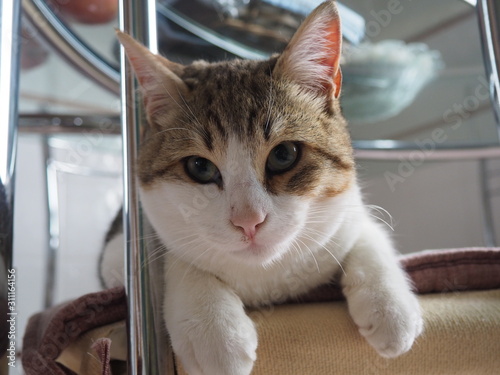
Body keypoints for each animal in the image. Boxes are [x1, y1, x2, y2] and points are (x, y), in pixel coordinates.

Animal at [99, 1, 424, 374]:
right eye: (199, 167)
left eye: (284, 154)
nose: (248, 221)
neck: (266, 275)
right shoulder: (118, 250)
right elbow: (174, 257)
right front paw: (212, 328)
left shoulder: (347, 212)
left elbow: (368, 234)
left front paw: (390, 307)